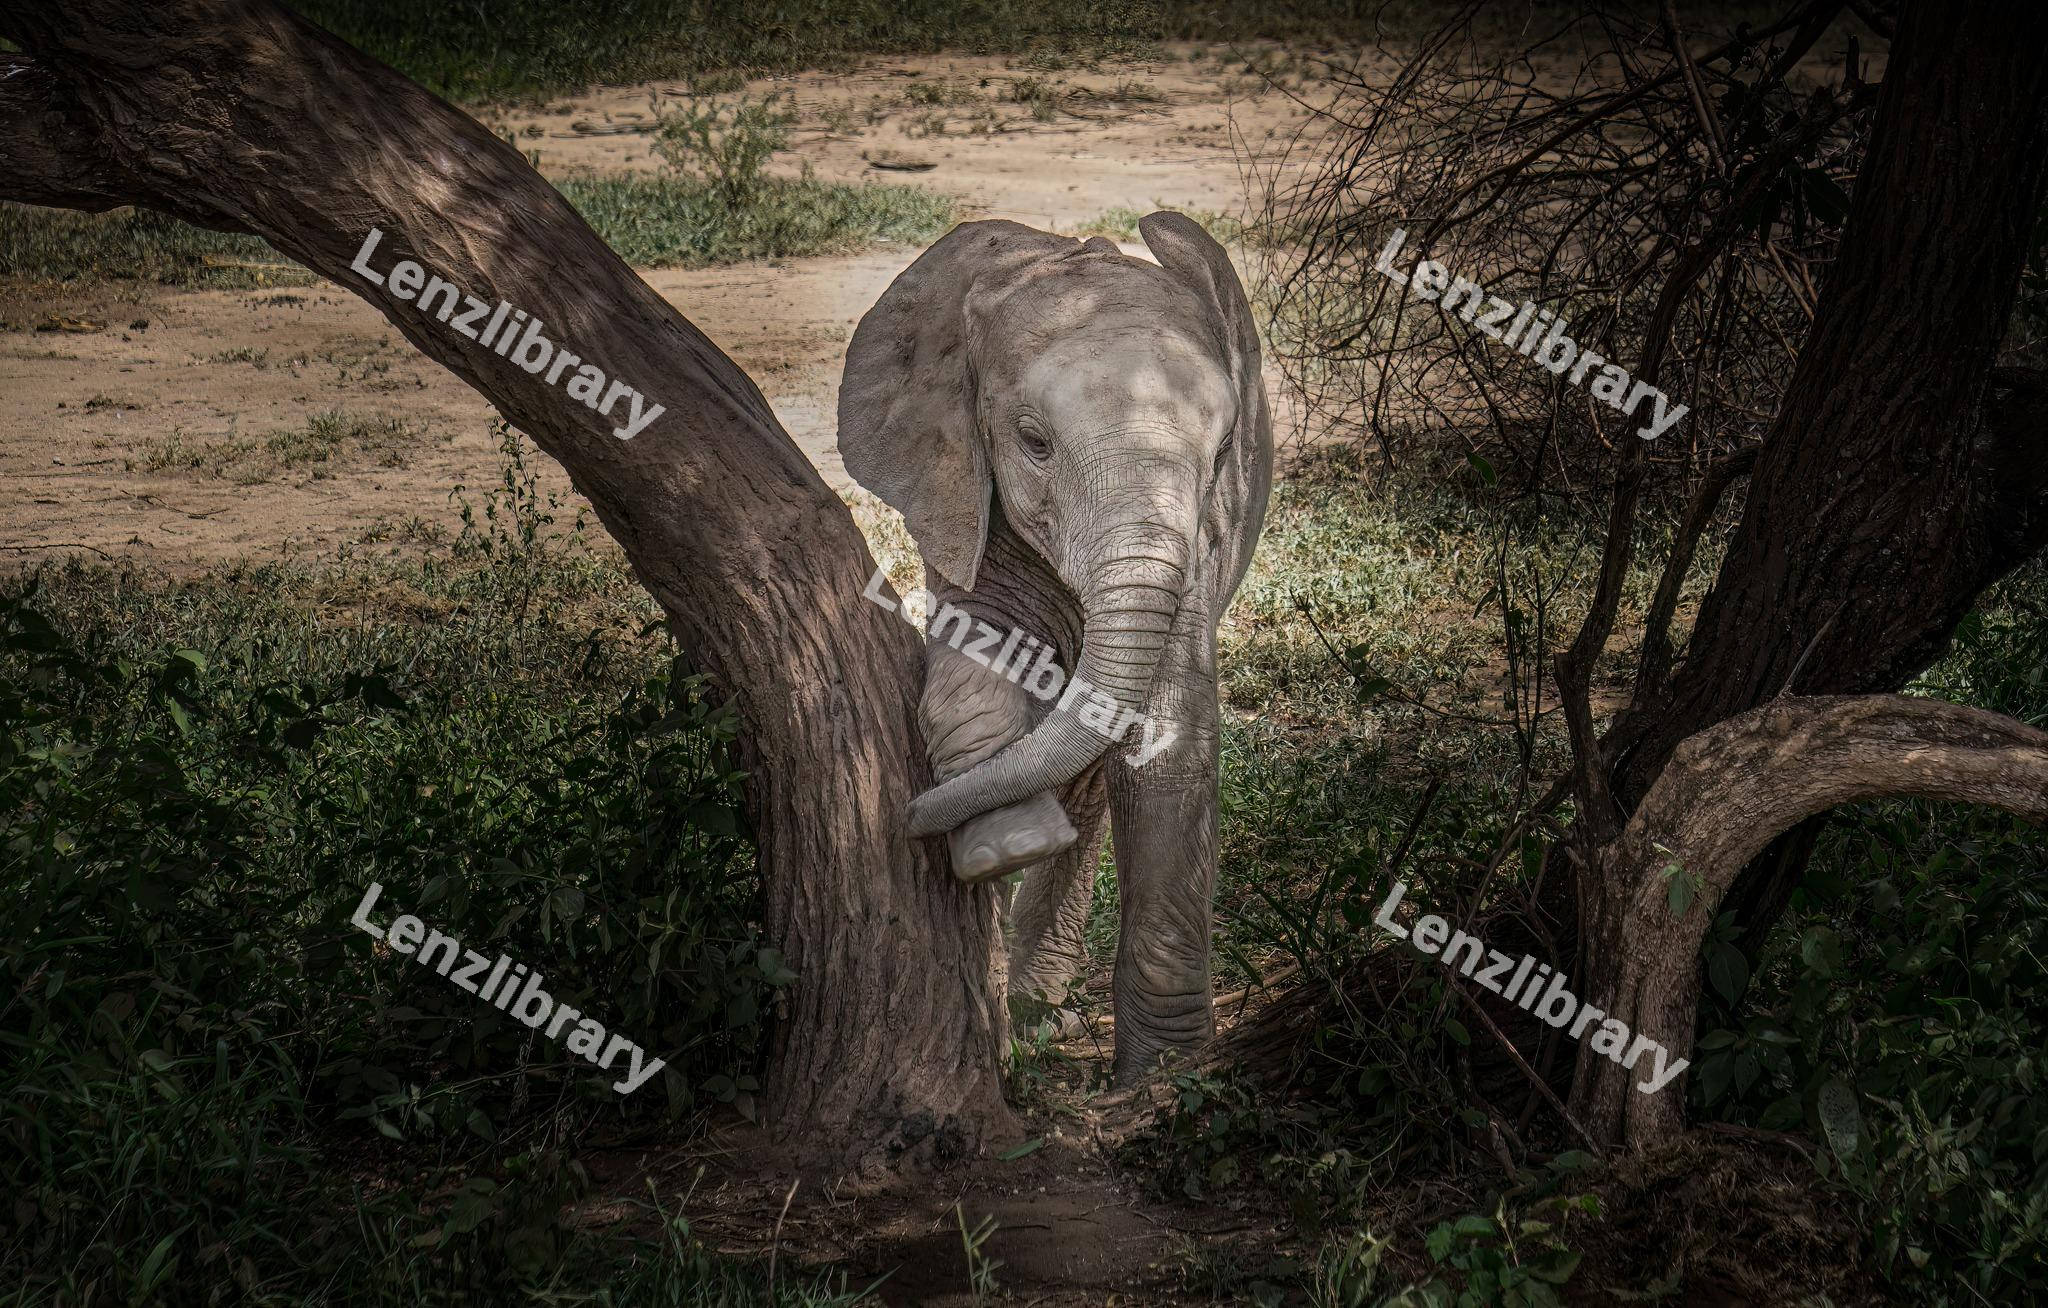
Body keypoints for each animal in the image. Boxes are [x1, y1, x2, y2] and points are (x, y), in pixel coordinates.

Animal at [837, 211, 1273, 1085]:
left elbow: (1166, 739)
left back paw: (1037, 1008)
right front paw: (1008, 845)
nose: (901, 817)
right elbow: (971, 661)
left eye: (1220, 458)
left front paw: (1164, 1078)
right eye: (1033, 443)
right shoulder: (959, 491)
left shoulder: (1203, 542)